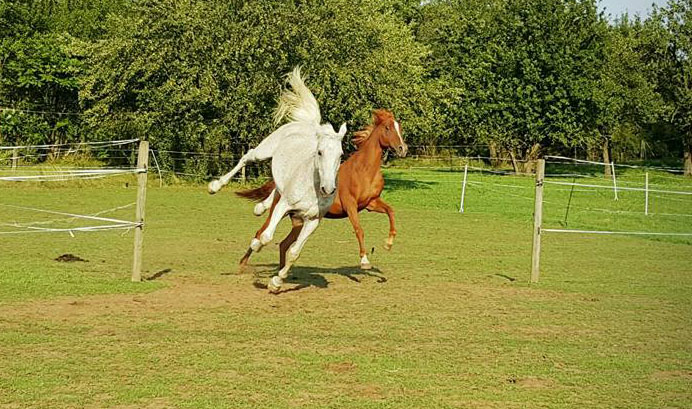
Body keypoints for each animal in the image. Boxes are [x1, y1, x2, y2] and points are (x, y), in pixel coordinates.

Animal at [207, 67, 344, 290]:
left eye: (341, 155)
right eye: (320, 152)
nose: (328, 189)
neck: (312, 190)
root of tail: (306, 124)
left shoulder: (313, 221)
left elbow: (294, 252)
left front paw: (276, 283)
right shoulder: (285, 206)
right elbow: (266, 236)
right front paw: (257, 246)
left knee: (274, 190)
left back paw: (260, 207)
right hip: (265, 150)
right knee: (247, 157)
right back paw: (215, 186)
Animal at [238, 109, 406, 270]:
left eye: (400, 127)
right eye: (387, 128)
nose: (403, 149)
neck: (364, 171)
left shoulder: (371, 203)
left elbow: (390, 211)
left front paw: (388, 243)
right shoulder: (350, 205)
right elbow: (359, 229)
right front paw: (364, 261)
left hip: (298, 222)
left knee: (283, 244)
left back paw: (280, 271)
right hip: (280, 212)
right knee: (260, 233)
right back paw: (243, 264)